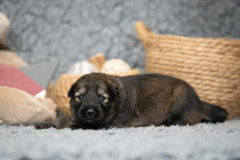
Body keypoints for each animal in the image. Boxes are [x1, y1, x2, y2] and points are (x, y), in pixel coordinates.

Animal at [34, 73, 228, 129]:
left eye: (103, 98)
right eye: (79, 97)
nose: (89, 112)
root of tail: (199, 101)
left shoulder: (110, 123)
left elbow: (77, 122)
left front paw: (70, 125)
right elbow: (67, 118)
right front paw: (46, 123)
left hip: (180, 100)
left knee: (183, 121)